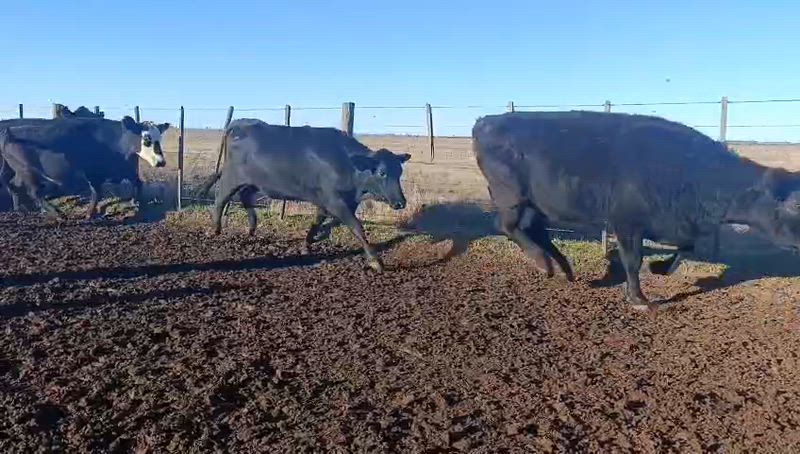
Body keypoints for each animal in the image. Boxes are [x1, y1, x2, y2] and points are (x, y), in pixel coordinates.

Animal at [0, 116, 170, 217]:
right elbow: (97, 192)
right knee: (34, 192)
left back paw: (20, 209)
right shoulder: (93, 173)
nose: (161, 162)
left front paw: (138, 203)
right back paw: (57, 213)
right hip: (28, 171)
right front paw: (90, 213)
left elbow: (139, 183)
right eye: (146, 139)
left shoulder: (126, 170)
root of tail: (9, 131)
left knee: (13, 185)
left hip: (17, 170)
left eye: (159, 138)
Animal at [199, 119, 411, 272]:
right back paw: (216, 228)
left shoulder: (336, 201)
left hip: (255, 183)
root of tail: (240, 123)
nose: (401, 202)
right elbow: (357, 227)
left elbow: (319, 221)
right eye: (382, 172)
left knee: (245, 198)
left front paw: (308, 242)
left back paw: (251, 228)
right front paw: (375, 261)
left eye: (399, 172)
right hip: (232, 178)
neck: (348, 164)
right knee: (221, 198)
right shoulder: (334, 200)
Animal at [472, 111, 800, 310]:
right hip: (511, 197)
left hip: (535, 204)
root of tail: (487, 121)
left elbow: (686, 249)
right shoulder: (627, 224)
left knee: (535, 231)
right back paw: (543, 264)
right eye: (795, 204)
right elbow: (632, 260)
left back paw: (563, 269)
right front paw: (640, 298)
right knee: (507, 226)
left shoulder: (678, 224)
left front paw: (660, 269)